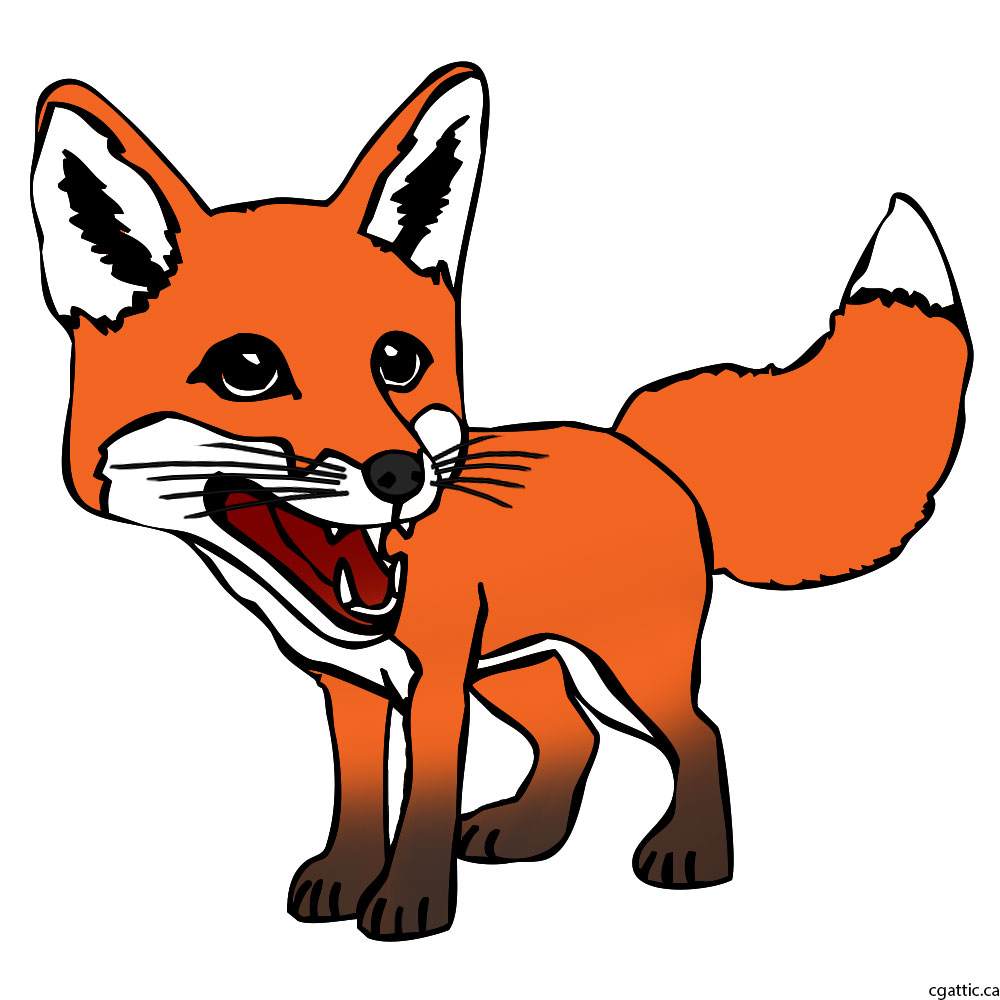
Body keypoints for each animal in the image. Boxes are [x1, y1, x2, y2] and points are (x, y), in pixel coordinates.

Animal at [30, 63, 971, 941]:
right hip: (524, 668)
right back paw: (529, 833)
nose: (400, 474)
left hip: (625, 670)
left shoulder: (437, 686)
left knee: (698, 733)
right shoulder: (354, 687)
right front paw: (346, 878)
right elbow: (359, 796)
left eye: (399, 361)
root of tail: (639, 448)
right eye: (249, 371)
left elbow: (424, 799)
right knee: (574, 738)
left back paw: (694, 853)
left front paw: (408, 903)